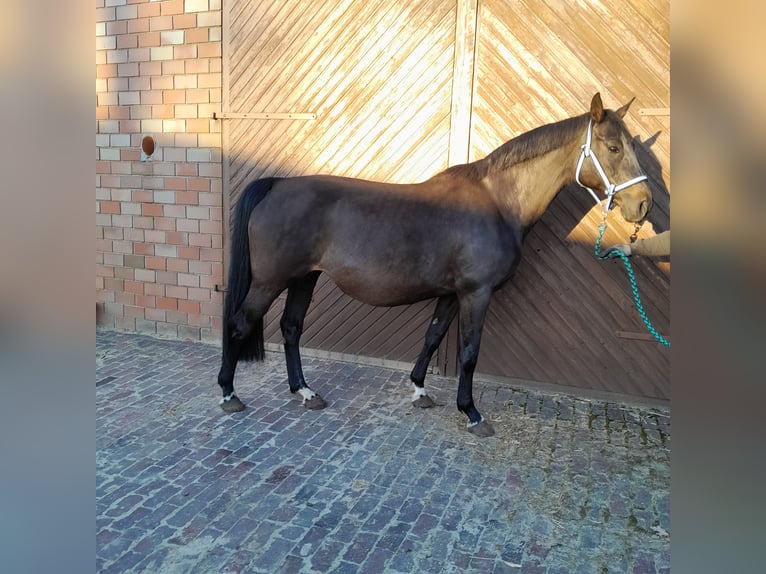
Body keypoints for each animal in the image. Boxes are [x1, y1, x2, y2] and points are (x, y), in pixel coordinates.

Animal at [216, 93, 652, 437]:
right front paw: (472, 413)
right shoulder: (476, 294)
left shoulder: (451, 294)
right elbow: (469, 351)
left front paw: (420, 391)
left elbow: (433, 336)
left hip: (304, 279)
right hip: (270, 281)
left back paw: (305, 392)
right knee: (239, 323)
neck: (497, 203)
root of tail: (277, 185)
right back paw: (229, 394)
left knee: (291, 328)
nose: (643, 205)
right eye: (613, 147)